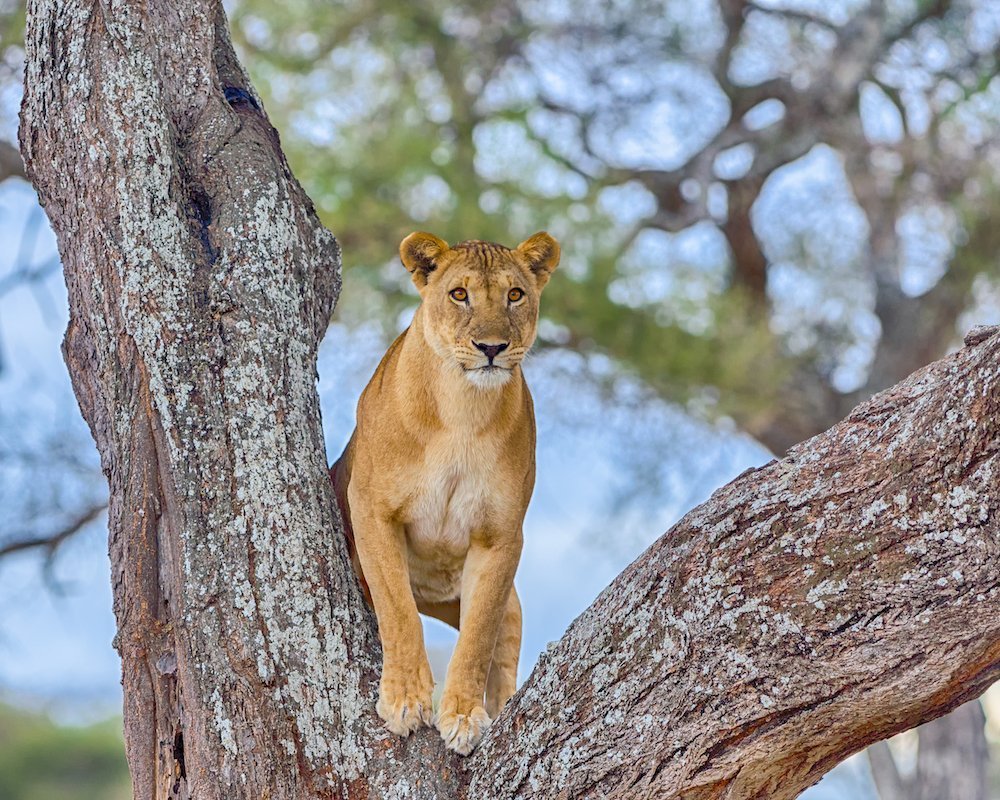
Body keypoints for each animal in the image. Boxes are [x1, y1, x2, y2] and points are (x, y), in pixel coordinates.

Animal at [330, 230, 559, 755]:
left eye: (515, 295)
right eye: (459, 294)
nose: (491, 347)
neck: (463, 408)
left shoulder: (501, 536)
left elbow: (478, 636)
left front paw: (462, 715)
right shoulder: (371, 509)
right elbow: (398, 611)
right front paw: (405, 700)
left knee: (505, 633)